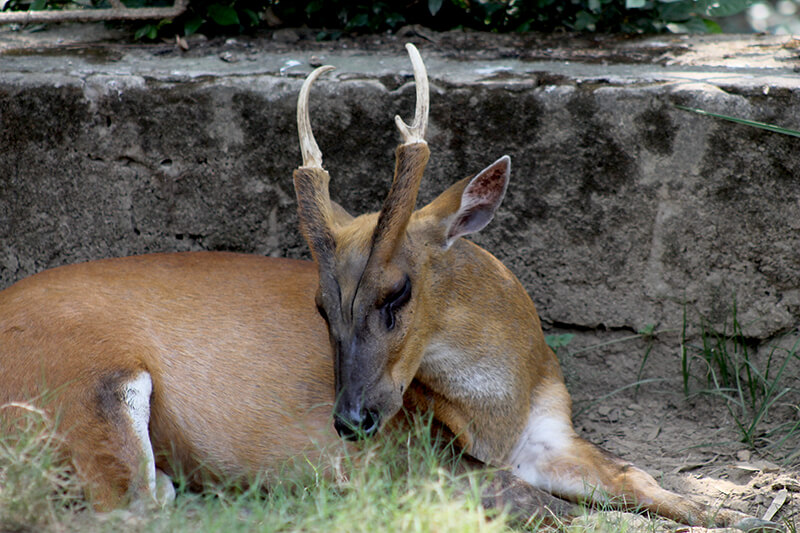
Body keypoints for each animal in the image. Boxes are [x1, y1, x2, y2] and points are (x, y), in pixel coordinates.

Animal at [0, 43, 770, 530]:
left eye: (396, 292)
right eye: (319, 304)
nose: (349, 420)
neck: (498, 404)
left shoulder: (550, 433)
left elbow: (641, 478)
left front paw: (739, 511)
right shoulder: (405, 459)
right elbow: (537, 505)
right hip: (81, 386)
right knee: (127, 504)